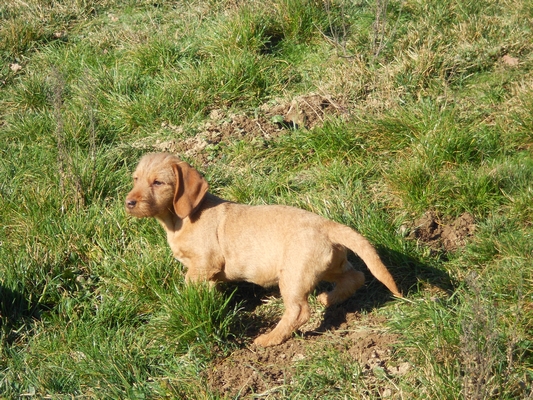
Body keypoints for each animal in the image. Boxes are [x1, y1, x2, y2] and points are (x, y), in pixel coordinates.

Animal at [124, 153, 400, 346]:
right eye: (136, 179)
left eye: (158, 182)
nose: (129, 202)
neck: (178, 220)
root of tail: (327, 225)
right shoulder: (206, 271)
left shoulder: (203, 263)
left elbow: (189, 284)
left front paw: (186, 301)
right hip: (330, 264)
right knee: (356, 277)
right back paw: (329, 298)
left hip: (293, 275)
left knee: (299, 311)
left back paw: (270, 339)